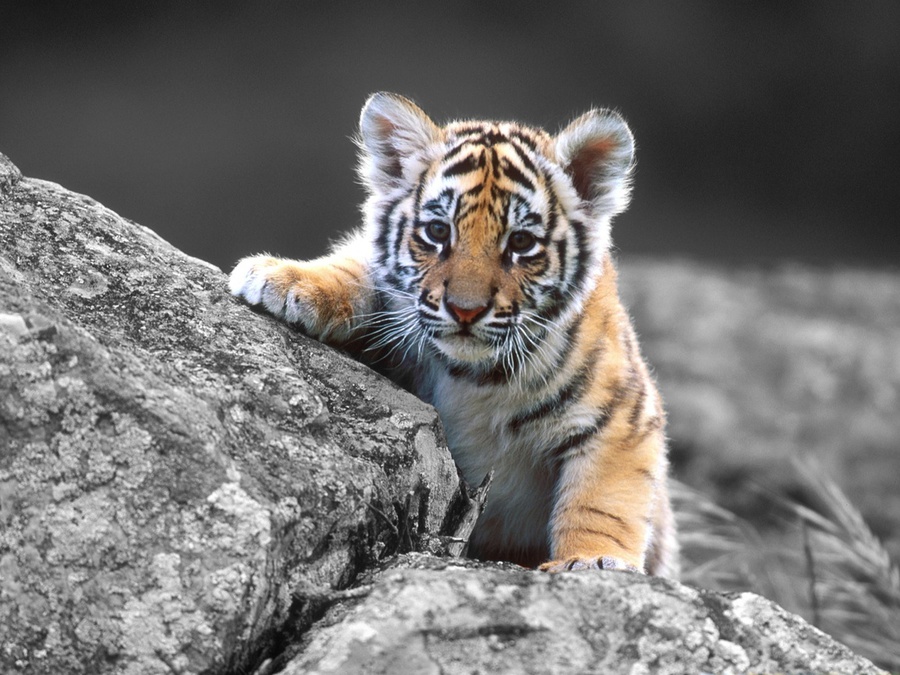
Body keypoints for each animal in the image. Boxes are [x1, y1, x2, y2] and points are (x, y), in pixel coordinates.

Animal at [229, 92, 678, 577]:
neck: (474, 377)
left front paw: (592, 561)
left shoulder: (623, 418)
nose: (465, 309)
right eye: (438, 231)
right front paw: (282, 278)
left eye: (521, 243)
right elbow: (357, 268)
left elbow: (601, 501)